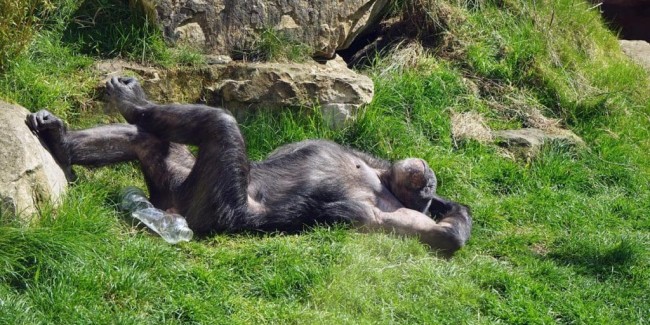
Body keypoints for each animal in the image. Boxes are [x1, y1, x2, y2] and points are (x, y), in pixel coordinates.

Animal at [27, 76, 470, 256]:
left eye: (427, 185)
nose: (429, 177)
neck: (382, 182)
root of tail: (169, 206)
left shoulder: (397, 218)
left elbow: (442, 236)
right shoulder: (371, 157)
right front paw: (448, 203)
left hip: (210, 200)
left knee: (218, 123)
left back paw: (132, 101)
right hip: (175, 174)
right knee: (144, 138)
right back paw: (60, 144)